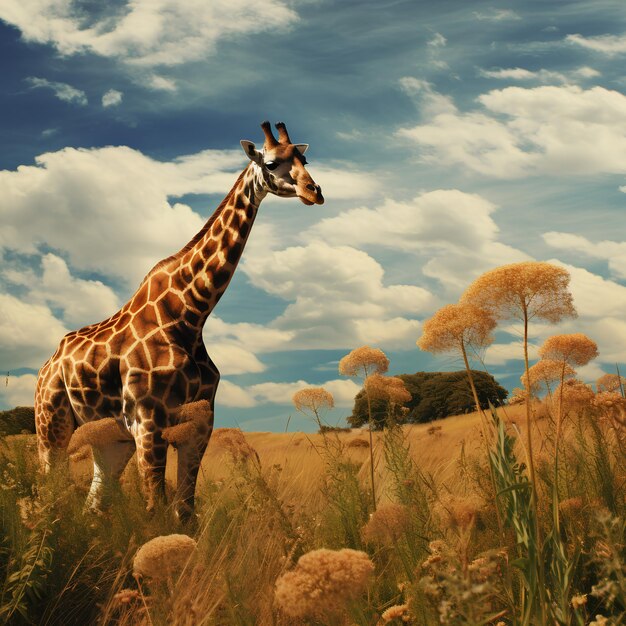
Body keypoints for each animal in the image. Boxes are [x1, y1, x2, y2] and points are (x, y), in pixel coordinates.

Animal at [33, 119, 322, 520]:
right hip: (52, 425)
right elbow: (155, 507)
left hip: (111, 439)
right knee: (49, 492)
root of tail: (46, 366)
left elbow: (186, 511)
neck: (191, 314)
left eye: (304, 159)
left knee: (94, 502)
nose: (314, 192)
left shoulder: (198, 425)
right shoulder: (148, 422)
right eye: (271, 163)